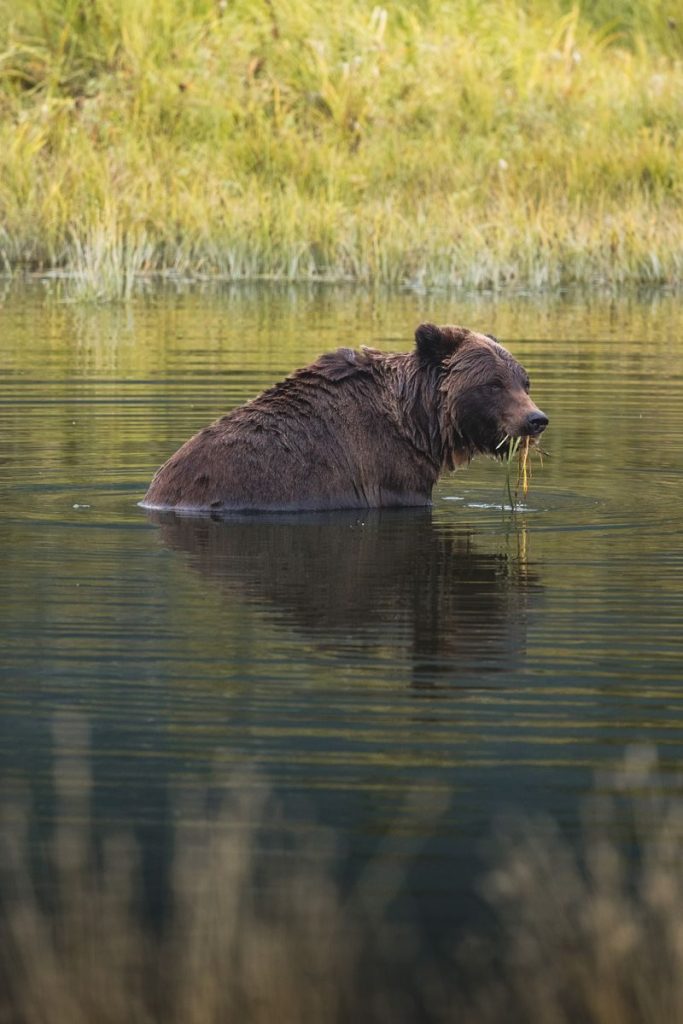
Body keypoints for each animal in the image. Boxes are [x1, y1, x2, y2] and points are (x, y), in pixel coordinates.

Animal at [141, 322, 548, 513]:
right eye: (493, 384)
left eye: (524, 380)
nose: (536, 419)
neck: (420, 424)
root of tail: (155, 492)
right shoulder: (390, 470)